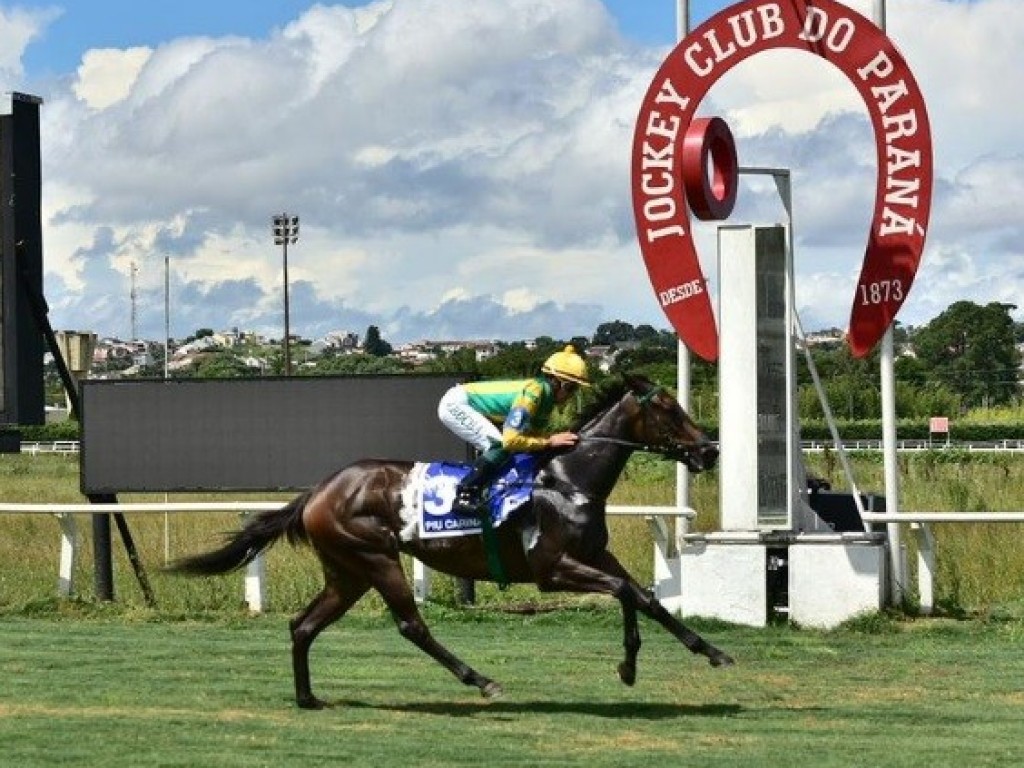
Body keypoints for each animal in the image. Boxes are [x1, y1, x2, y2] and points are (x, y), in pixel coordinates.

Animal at [172, 372, 737, 708]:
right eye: (668, 408)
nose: (709, 451)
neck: (565, 479)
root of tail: (319, 489)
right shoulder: (552, 569)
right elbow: (624, 594)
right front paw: (627, 666)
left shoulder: (597, 554)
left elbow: (646, 598)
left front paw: (713, 652)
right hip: (376, 558)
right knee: (411, 625)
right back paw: (480, 679)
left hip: (347, 571)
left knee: (303, 625)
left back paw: (308, 698)